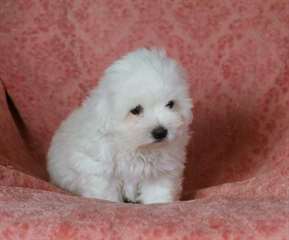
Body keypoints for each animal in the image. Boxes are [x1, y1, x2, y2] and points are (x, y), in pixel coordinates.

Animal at [46, 47, 191, 203]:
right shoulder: (101, 170)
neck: (136, 146)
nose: (160, 132)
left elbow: (158, 194)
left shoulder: (160, 172)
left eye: (170, 104)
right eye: (136, 110)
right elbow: (106, 195)